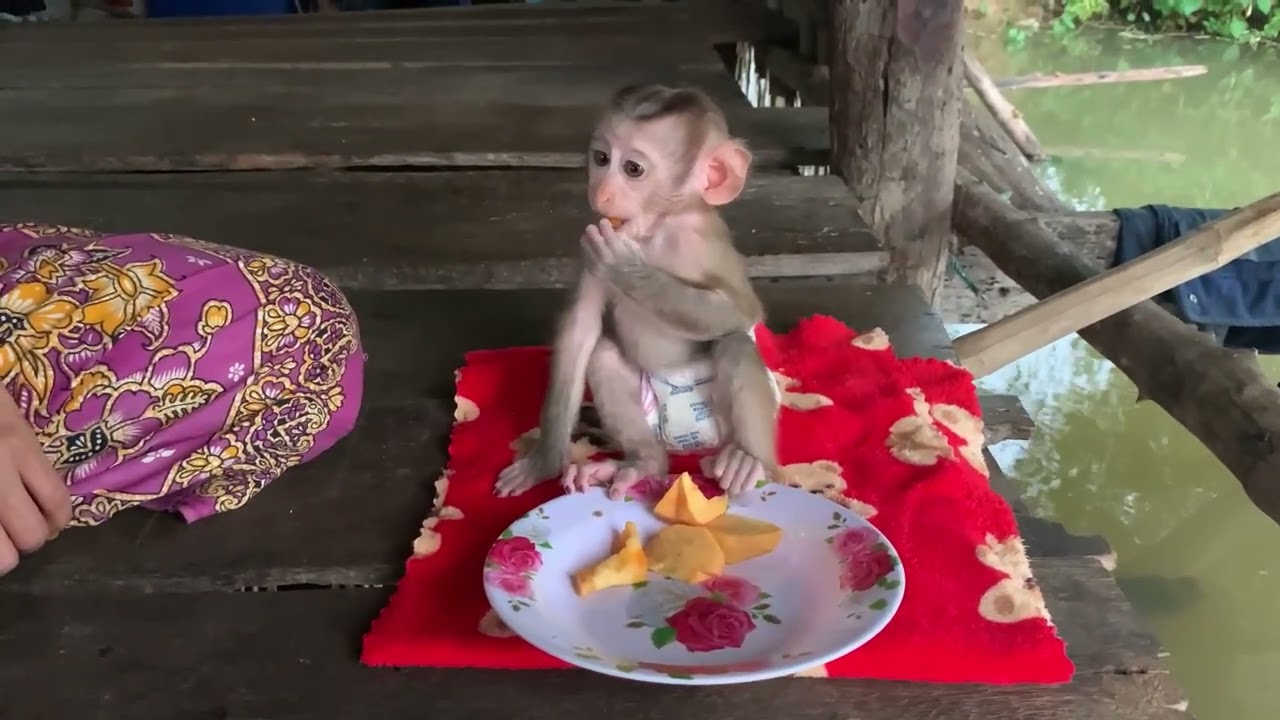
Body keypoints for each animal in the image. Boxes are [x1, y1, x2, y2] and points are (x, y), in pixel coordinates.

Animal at [494, 83, 780, 502]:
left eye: (633, 169)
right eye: (601, 159)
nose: (601, 192)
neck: (656, 228)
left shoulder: (701, 242)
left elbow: (741, 312)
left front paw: (628, 269)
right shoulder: (591, 241)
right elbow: (581, 331)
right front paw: (543, 462)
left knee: (735, 345)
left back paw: (750, 461)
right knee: (603, 357)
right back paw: (642, 463)